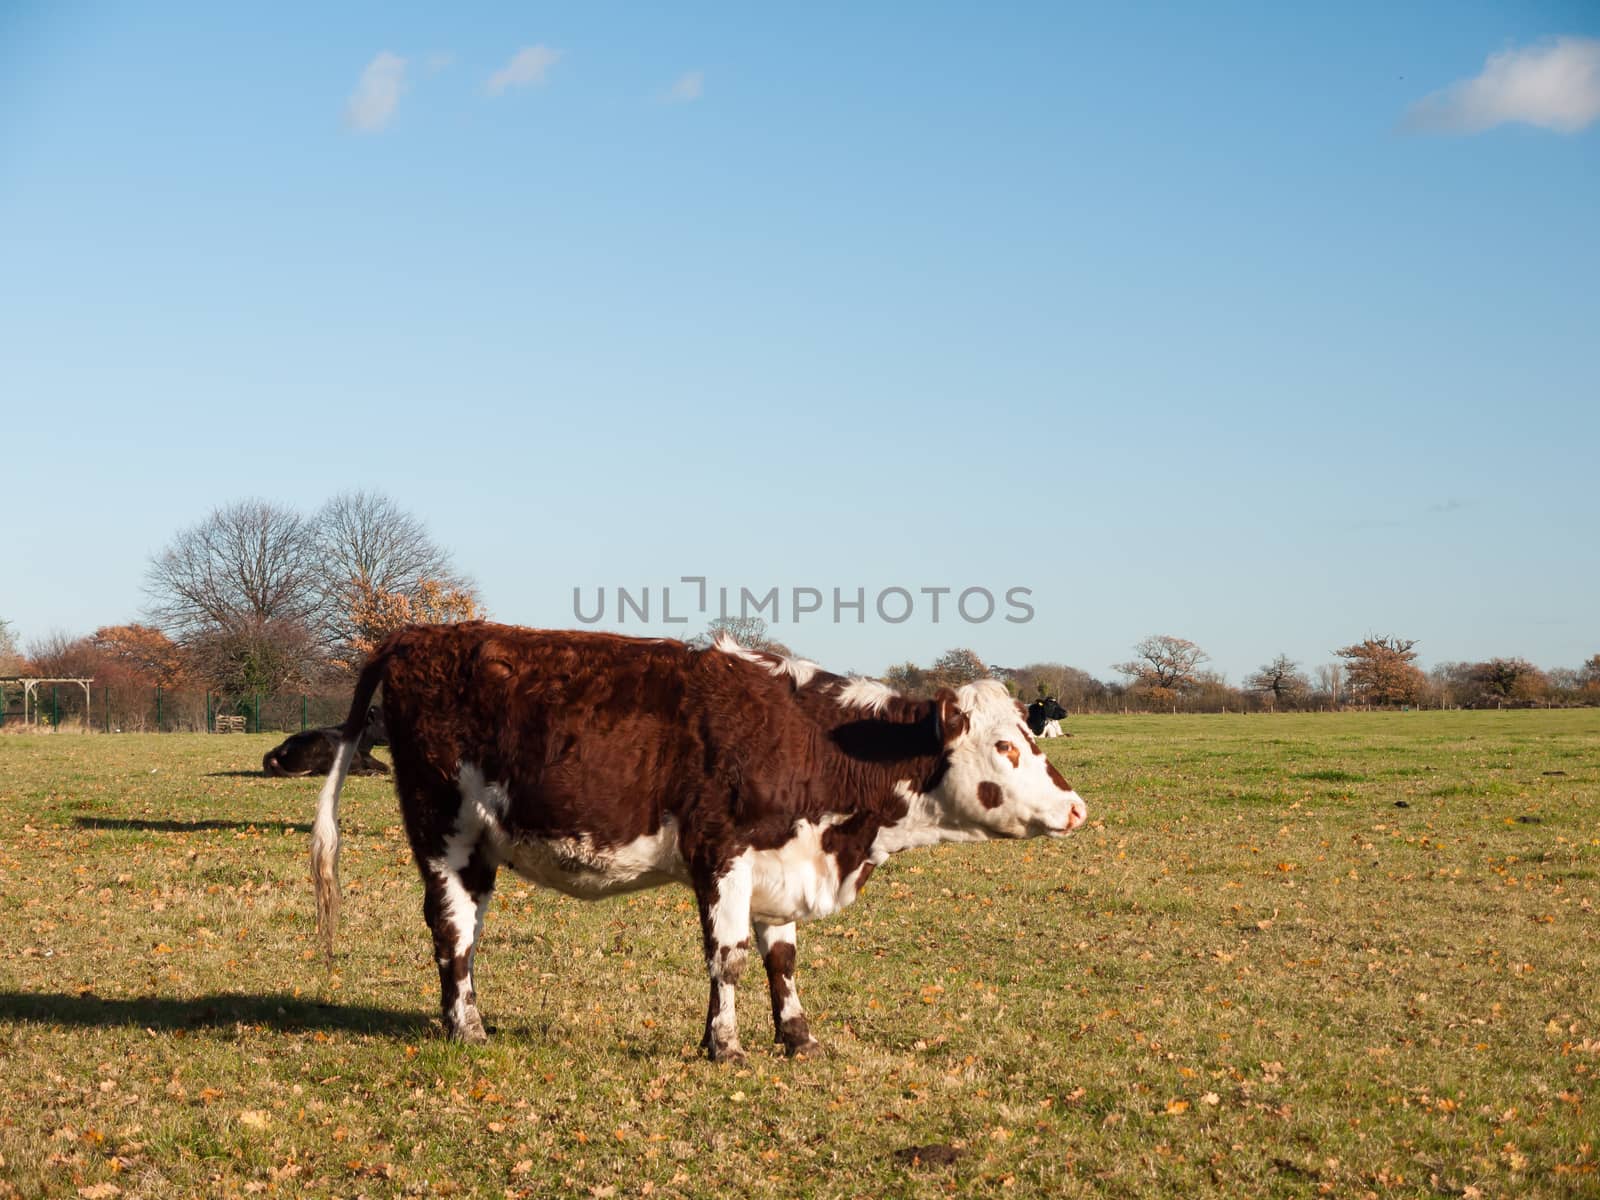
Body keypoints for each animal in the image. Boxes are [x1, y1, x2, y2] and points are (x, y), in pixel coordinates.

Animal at [308, 624, 1088, 1068]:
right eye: (1005, 747)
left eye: (1030, 732)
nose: (1076, 808)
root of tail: (415, 633)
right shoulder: (723, 853)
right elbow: (730, 958)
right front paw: (726, 1046)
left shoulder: (781, 862)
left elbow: (782, 960)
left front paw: (798, 1039)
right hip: (445, 828)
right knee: (453, 929)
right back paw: (466, 1028)